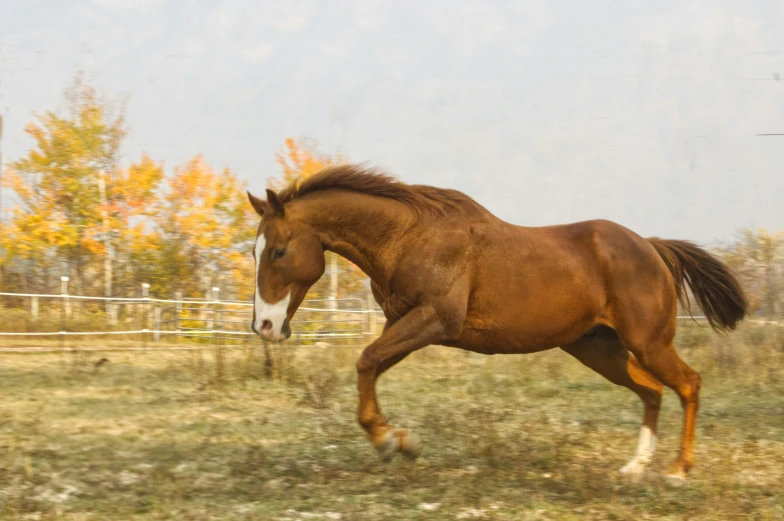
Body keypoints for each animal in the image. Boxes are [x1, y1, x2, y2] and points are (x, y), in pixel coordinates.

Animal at [247, 165, 748, 482]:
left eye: (278, 251)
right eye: (255, 250)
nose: (265, 326)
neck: (409, 237)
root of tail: (651, 246)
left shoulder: (435, 321)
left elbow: (366, 361)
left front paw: (390, 442)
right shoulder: (403, 323)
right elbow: (370, 365)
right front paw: (400, 441)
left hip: (647, 342)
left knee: (688, 384)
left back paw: (678, 472)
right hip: (598, 348)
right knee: (653, 391)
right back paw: (634, 469)